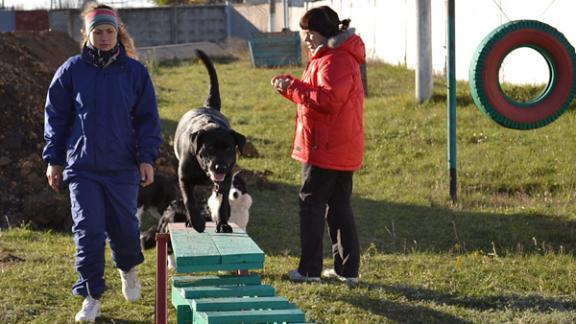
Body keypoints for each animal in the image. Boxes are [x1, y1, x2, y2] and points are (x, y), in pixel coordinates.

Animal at [173, 49, 245, 233]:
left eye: (229, 149)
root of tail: (207, 106)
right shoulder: (184, 179)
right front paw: (197, 223)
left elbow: (222, 204)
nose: (220, 167)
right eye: (210, 149)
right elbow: (189, 201)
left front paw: (223, 223)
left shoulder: (226, 180)